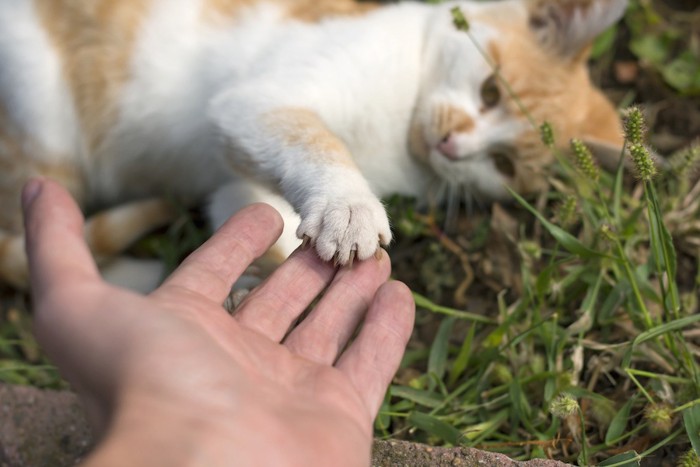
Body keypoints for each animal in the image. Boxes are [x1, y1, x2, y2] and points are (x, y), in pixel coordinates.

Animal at [0, 0, 624, 292]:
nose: (452, 145)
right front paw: (348, 206)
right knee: (26, 246)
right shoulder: (255, 102)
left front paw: (258, 280)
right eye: (491, 90)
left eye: (503, 163)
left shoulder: (236, 181)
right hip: (45, 124)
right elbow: (312, 139)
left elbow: (253, 212)